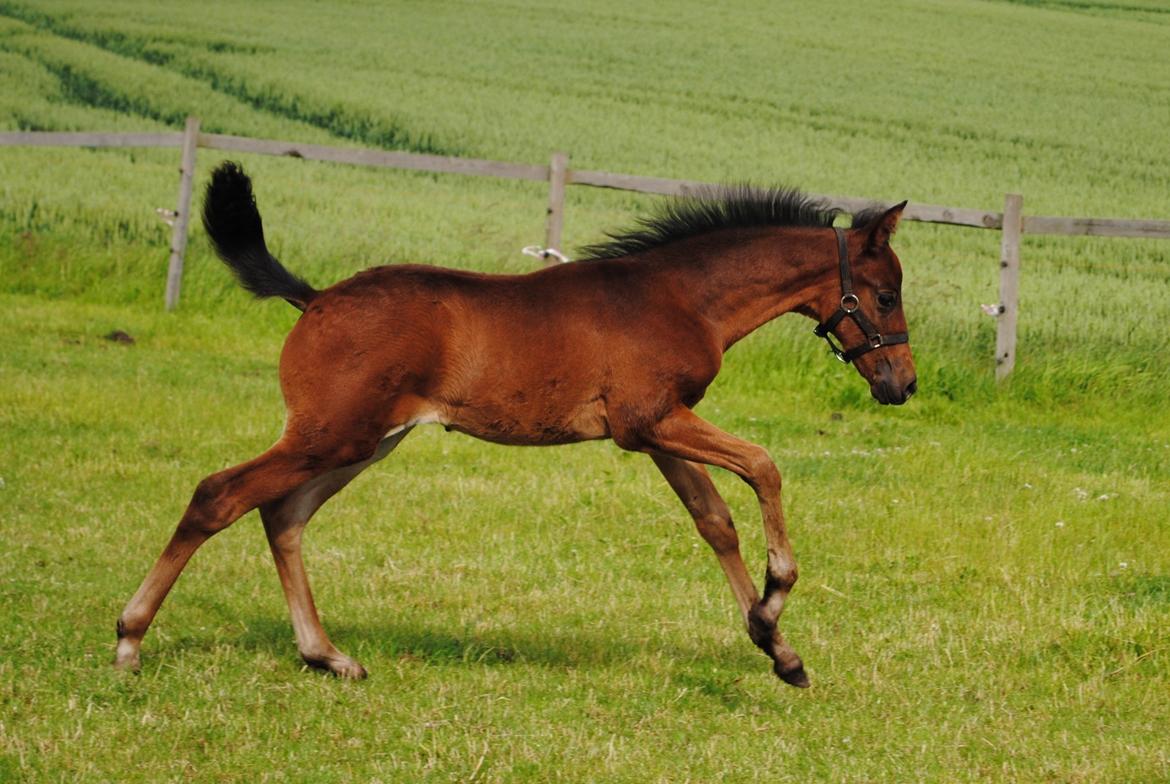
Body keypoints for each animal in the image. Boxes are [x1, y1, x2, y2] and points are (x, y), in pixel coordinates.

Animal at [111, 161, 912, 688]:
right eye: (884, 294)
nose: (901, 385)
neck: (681, 297)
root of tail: (314, 298)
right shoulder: (651, 421)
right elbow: (763, 465)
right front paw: (777, 598)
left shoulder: (658, 429)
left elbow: (714, 520)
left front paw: (778, 649)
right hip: (330, 434)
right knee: (220, 495)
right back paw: (129, 641)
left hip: (363, 442)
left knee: (282, 514)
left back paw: (327, 655)